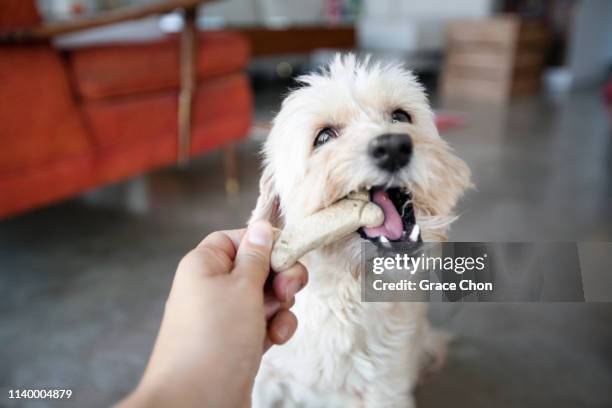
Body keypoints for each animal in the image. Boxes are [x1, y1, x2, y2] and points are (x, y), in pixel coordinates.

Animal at [247, 55, 468, 408]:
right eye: (324, 137)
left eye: (400, 116)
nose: (393, 146)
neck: (346, 294)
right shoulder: (264, 382)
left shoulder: (386, 390)